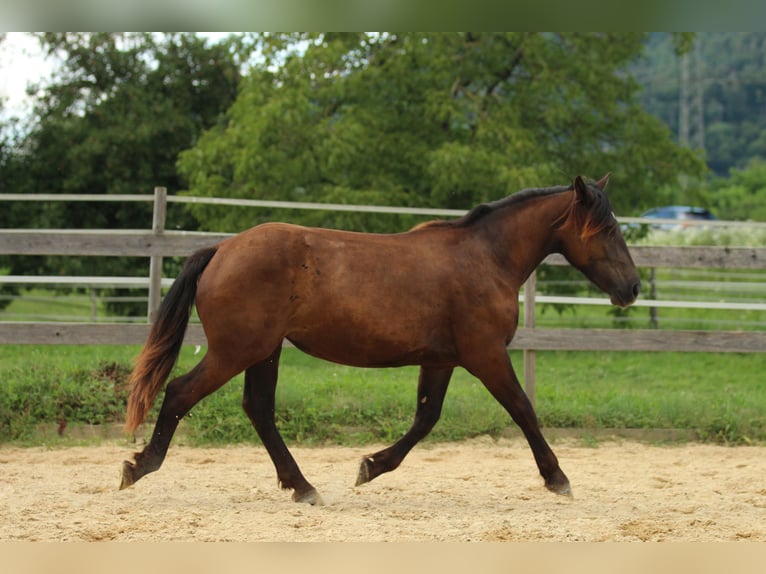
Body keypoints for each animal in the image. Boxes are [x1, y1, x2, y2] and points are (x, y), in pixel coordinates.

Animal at [120, 174, 640, 504]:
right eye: (608, 228)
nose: (632, 288)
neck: (486, 258)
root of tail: (222, 248)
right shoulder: (486, 355)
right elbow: (522, 409)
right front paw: (558, 478)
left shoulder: (442, 359)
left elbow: (426, 418)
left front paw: (370, 466)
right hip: (237, 350)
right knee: (181, 392)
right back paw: (138, 467)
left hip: (264, 352)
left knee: (258, 409)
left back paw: (302, 487)